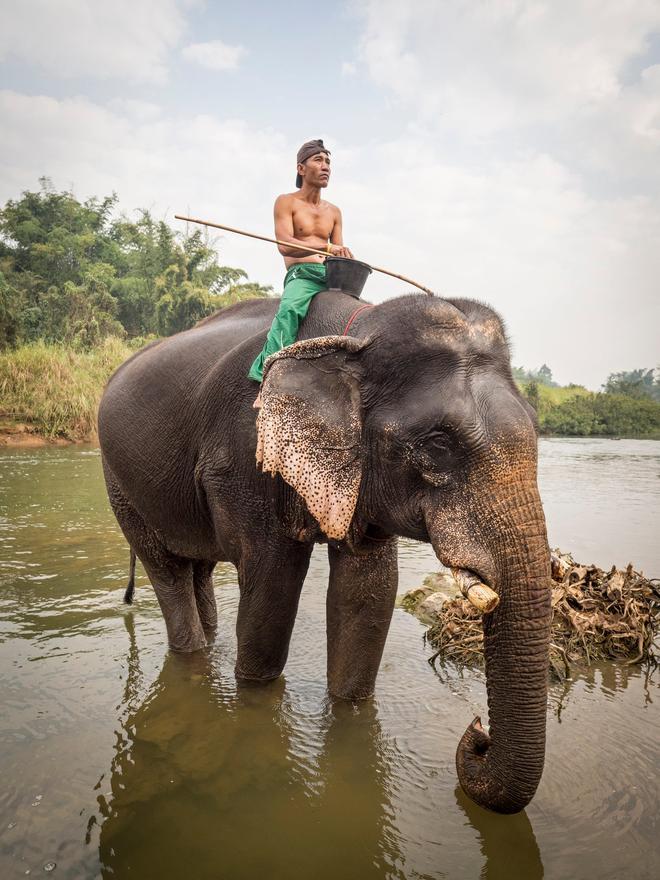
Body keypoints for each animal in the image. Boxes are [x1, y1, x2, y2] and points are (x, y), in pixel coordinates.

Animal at [98, 288, 552, 812]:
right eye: (438, 444)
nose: (477, 733)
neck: (357, 331)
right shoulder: (246, 456)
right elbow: (273, 584)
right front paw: (254, 702)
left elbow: (368, 593)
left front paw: (349, 710)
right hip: (119, 482)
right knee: (167, 569)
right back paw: (191, 653)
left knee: (200, 568)